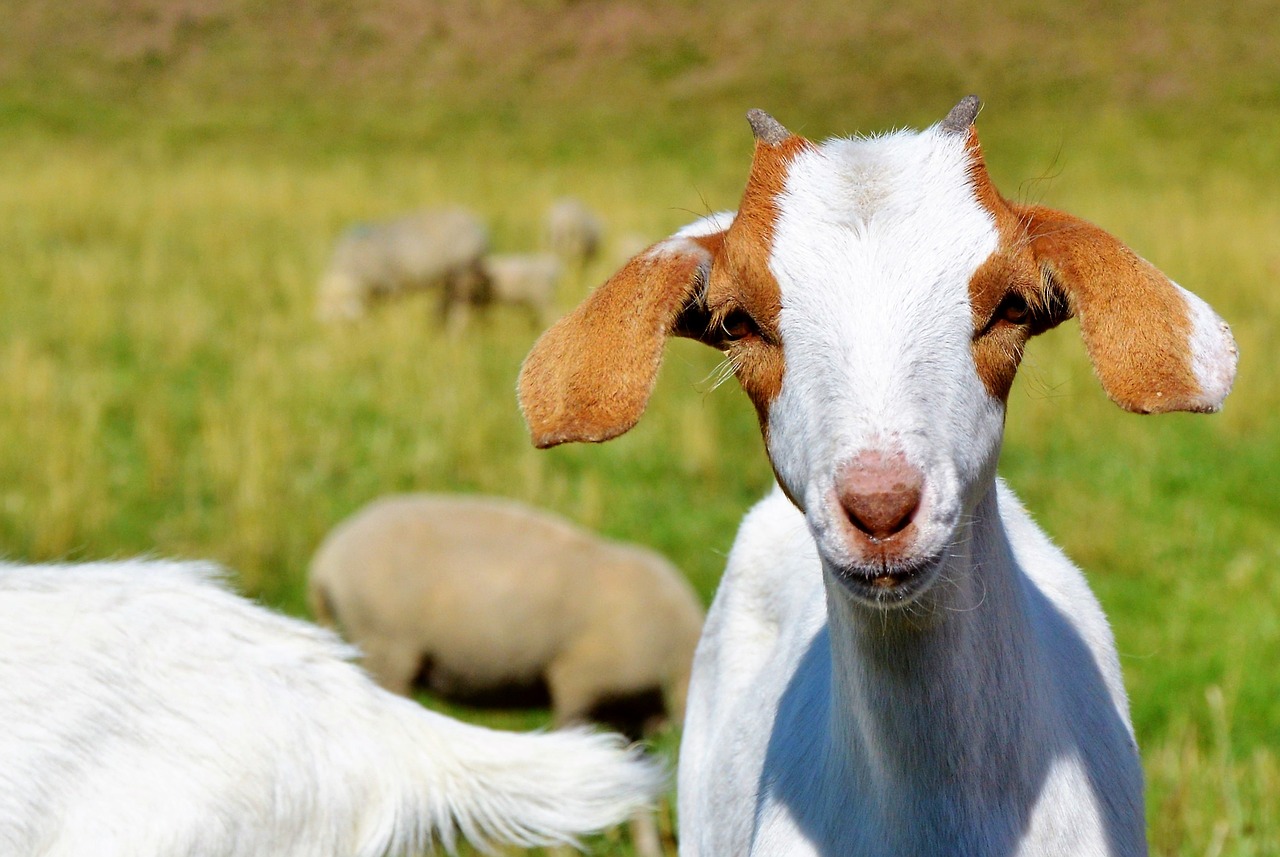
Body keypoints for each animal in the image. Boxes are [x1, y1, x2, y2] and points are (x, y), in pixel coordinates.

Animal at [316, 208, 488, 330]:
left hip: (463, 273)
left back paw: (455, 331)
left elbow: (394, 311)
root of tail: (476, 224)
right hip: (450, 277)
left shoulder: (392, 287)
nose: (341, 344)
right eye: (329, 325)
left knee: (461, 306)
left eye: (347, 324)